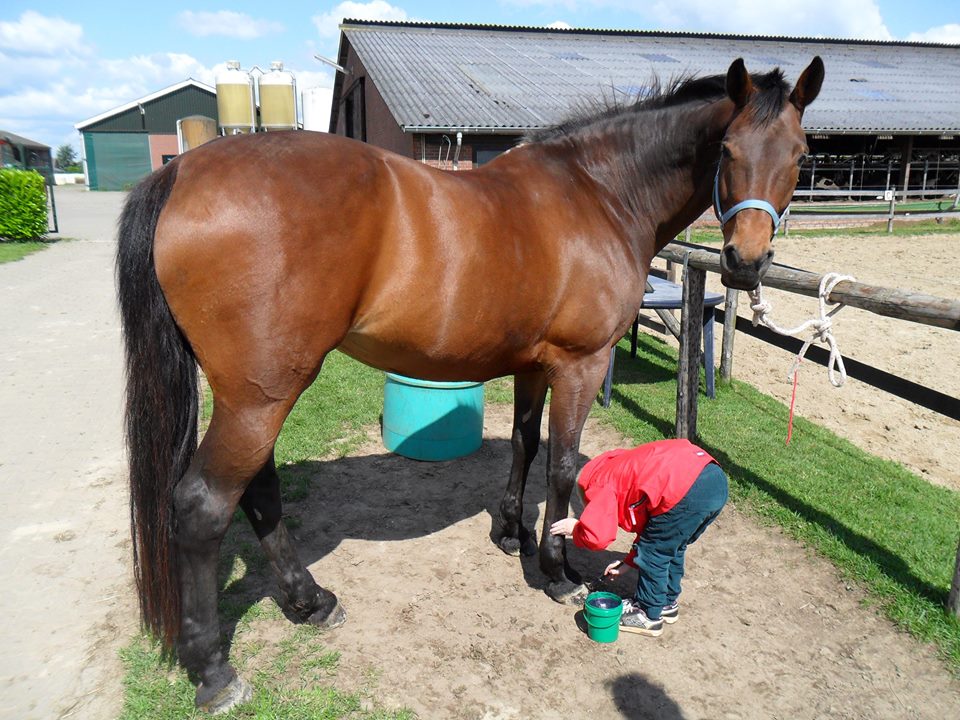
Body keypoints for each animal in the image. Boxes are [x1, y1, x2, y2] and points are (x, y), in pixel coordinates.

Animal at [117, 56, 823, 712]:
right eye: (727, 150)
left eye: (800, 155)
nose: (745, 263)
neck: (599, 192)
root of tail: (180, 172)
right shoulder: (580, 363)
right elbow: (563, 467)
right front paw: (556, 571)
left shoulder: (534, 364)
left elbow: (524, 445)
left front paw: (511, 533)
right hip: (261, 396)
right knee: (205, 506)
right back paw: (214, 672)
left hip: (252, 394)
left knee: (258, 491)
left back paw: (310, 602)